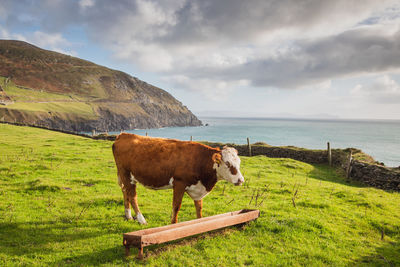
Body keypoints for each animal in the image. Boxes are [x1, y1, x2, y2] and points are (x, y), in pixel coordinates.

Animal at [111, 133, 245, 225]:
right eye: (227, 163)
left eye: (239, 162)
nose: (241, 180)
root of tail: (123, 135)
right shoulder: (179, 183)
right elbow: (176, 206)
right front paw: (173, 224)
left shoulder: (198, 188)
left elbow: (199, 207)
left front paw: (200, 222)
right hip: (126, 174)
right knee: (132, 196)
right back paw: (141, 219)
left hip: (124, 176)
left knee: (125, 192)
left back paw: (128, 216)